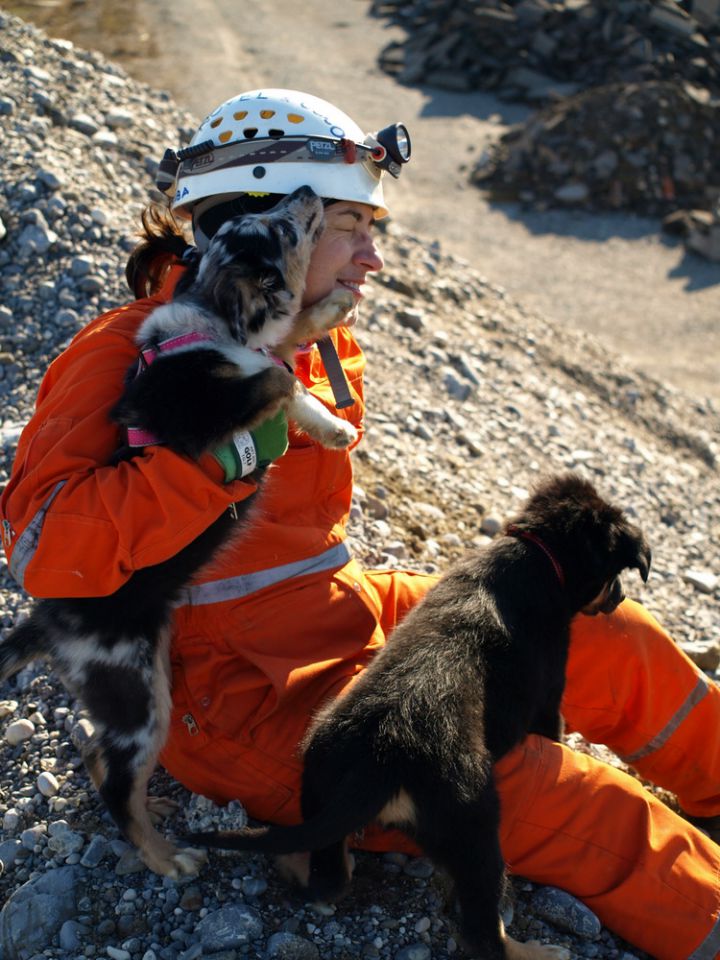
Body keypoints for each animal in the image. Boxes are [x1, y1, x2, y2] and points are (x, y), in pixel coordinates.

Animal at [0, 186, 356, 876]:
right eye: (278, 228)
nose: (303, 193)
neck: (214, 323)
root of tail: (49, 623)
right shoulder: (193, 414)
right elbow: (277, 373)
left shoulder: (257, 349)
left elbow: (285, 352)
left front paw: (331, 409)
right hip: (139, 696)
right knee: (116, 780)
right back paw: (167, 860)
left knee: (98, 756)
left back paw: (157, 819)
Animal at [188, 476, 648, 960]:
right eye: (616, 576)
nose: (620, 597)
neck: (538, 553)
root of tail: (383, 758)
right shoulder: (550, 693)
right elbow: (554, 727)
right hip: (473, 827)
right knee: (483, 933)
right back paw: (538, 951)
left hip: (317, 782)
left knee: (328, 879)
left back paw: (295, 866)